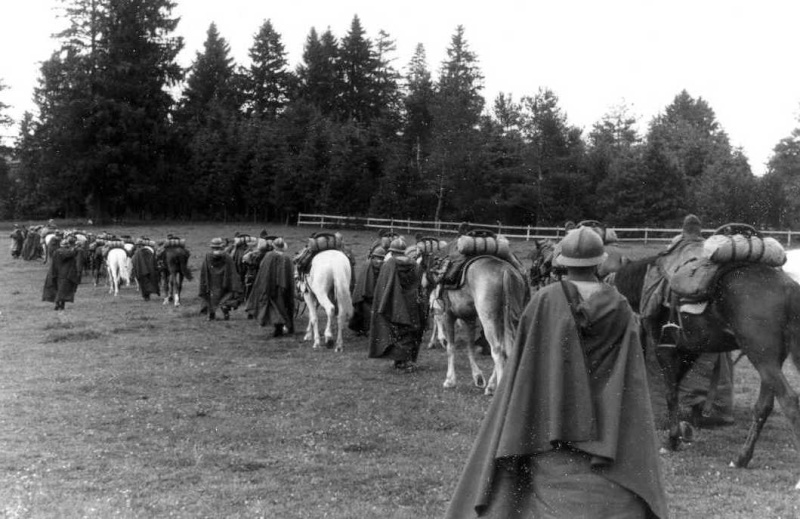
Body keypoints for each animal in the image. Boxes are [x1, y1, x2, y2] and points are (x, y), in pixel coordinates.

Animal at [612, 256, 800, 480]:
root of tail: (789, 289)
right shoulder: (689, 351)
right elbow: (676, 389)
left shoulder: (665, 348)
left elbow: (670, 394)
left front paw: (672, 440)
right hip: (771, 360)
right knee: (764, 406)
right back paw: (741, 458)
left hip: (762, 357)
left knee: (789, 401)